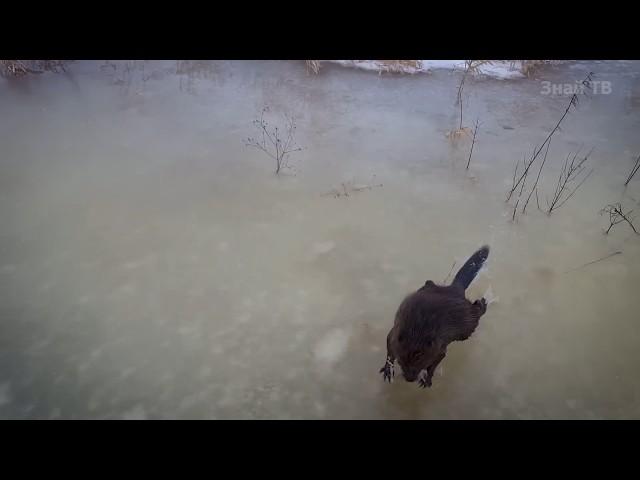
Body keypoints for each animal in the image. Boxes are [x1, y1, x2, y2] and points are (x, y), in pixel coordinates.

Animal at [380, 246, 490, 388]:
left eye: (422, 363)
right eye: (401, 361)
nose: (409, 379)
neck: (416, 333)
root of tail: (456, 289)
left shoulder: (439, 346)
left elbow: (439, 358)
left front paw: (426, 381)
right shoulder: (395, 332)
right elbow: (389, 345)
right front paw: (388, 371)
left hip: (466, 324)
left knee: (475, 314)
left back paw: (483, 302)